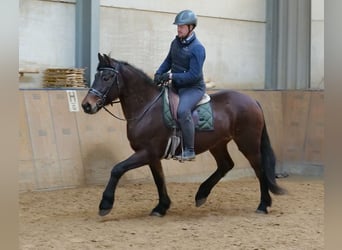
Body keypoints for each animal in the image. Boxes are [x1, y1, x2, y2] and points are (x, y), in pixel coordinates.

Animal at [81, 52, 286, 217]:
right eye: (96, 76)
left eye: (107, 77)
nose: (86, 105)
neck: (148, 107)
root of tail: (252, 100)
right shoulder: (152, 156)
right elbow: (159, 180)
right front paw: (161, 207)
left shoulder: (146, 152)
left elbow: (117, 169)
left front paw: (105, 204)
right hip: (218, 144)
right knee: (226, 165)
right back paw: (201, 194)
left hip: (247, 143)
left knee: (259, 169)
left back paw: (263, 205)